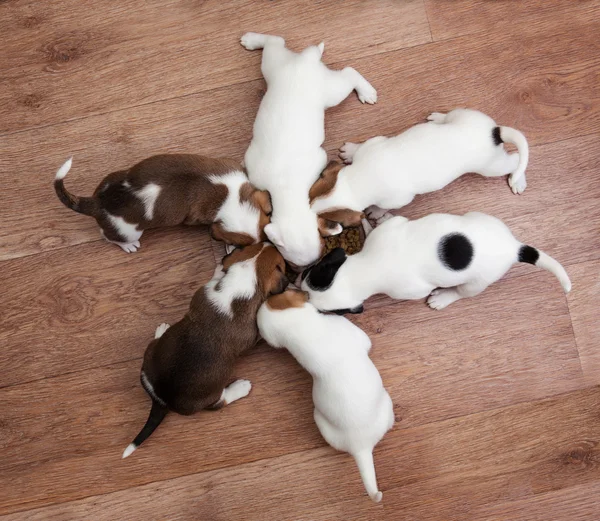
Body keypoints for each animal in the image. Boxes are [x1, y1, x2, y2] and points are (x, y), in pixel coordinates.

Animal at [54, 154, 274, 252]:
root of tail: (99, 202)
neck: (230, 198)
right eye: (238, 243)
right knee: (109, 237)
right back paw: (128, 246)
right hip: (129, 231)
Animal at [120, 242, 288, 458]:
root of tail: (162, 398)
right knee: (220, 402)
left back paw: (162, 331)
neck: (240, 283)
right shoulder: (254, 336)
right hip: (211, 395)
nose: (270, 243)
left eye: (254, 245)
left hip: (149, 355)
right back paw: (240, 387)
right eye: (282, 264)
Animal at [300, 212, 572, 312]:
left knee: (462, 293)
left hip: (476, 283)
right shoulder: (391, 228)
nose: (297, 282)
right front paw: (369, 220)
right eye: (310, 271)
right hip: (480, 218)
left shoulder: (411, 290)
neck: (367, 269)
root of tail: (512, 248)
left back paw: (443, 298)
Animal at [310, 108, 528, 224]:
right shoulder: (373, 144)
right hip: (463, 115)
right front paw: (351, 151)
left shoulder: (399, 200)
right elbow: (360, 148)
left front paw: (375, 211)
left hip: (491, 166)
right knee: (450, 117)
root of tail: (494, 132)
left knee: (516, 158)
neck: (360, 178)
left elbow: (383, 206)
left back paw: (518, 180)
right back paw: (438, 118)